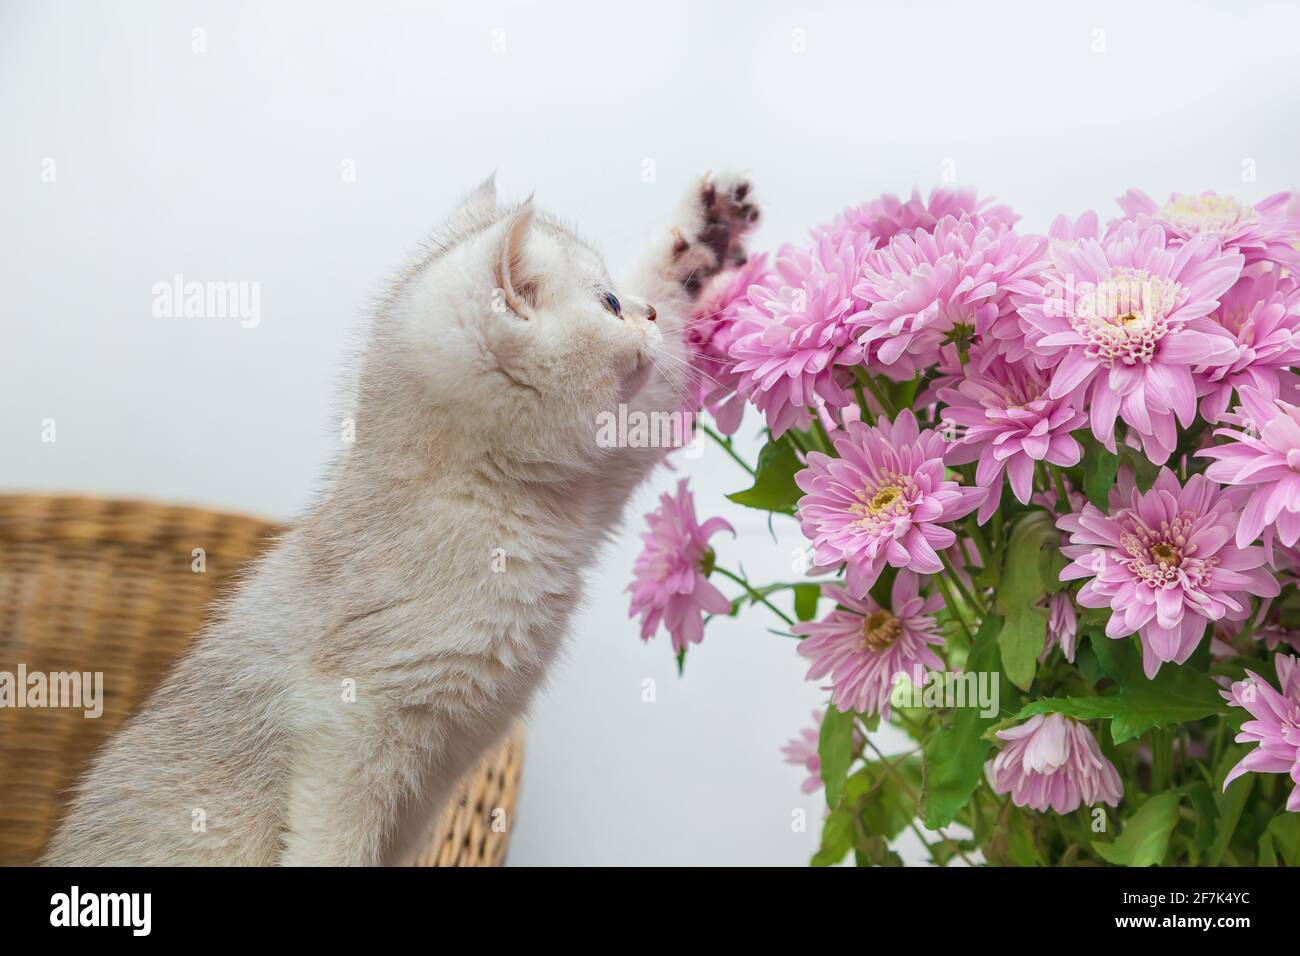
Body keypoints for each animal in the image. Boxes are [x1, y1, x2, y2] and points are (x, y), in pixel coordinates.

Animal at [43, 171, 759, 868]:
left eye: (626, 297)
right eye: (609, 303)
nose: (648, 313)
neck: (492, 500)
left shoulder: (599, 478)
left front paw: (703, 234)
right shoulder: (345, 718)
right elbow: (330, 842)